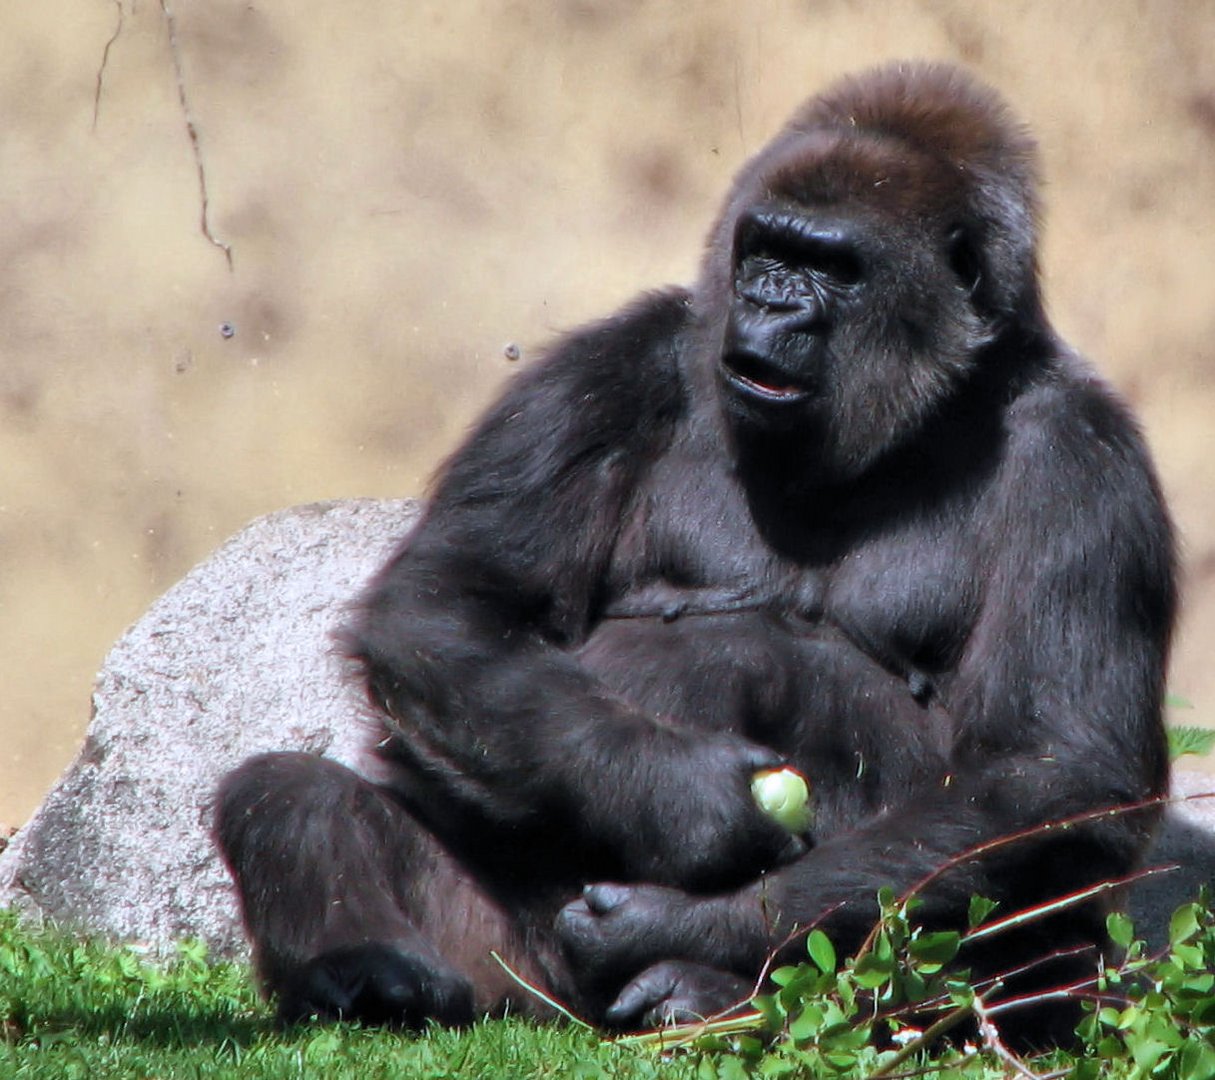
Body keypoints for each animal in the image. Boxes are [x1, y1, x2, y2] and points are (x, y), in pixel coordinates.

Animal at [216, 63, 1176, 1039]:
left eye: (833, 267)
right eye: (763, 252)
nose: (768, 303)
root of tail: (566, 1018)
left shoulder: (1086, 459)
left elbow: (1053, 767)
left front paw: (681, 923)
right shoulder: (613, 364)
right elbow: (451, 605)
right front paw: (682, 798)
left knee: (1035, 931)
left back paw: (713, 989)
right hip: (506, 966)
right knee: (288, 794)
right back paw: (371, 968)